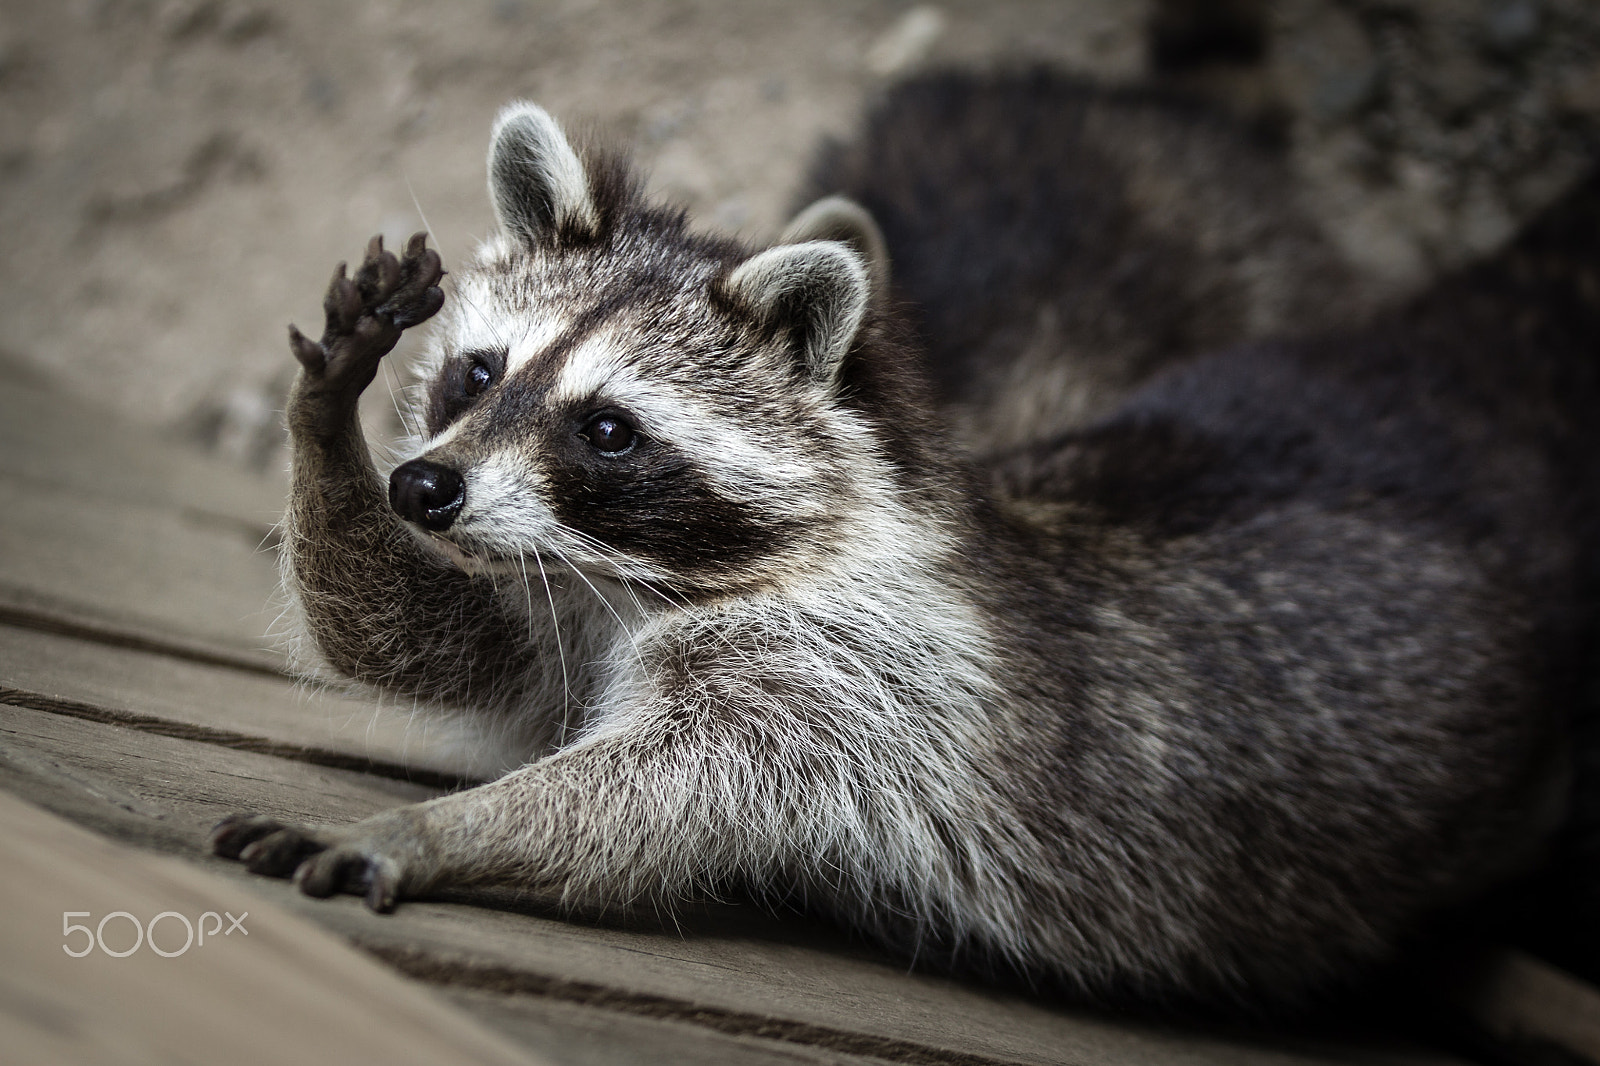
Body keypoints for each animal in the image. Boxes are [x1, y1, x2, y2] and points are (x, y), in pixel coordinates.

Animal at [211, 84, 1599, 1008]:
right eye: (481, 371)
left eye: (606, 427)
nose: (421, 486)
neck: (636, 580)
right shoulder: (555, 587)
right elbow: (415, 637)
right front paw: (327, 421)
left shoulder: (848, 685)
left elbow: (653, 797)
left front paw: (438, 831)